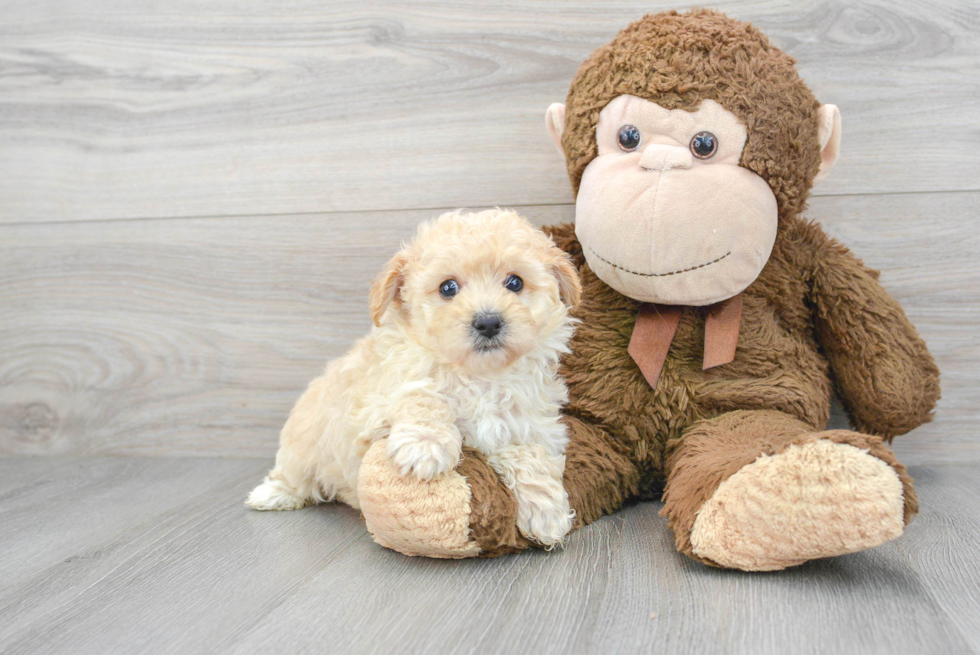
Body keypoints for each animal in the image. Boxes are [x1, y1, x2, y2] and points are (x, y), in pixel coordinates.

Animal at [247, 210, 580, 548]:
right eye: (448, 288)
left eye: (515, 282)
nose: (488, 322)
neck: (479, 376)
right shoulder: (369, 416)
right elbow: (421, 394)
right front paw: (426, 445)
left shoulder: (530, 428)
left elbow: (528, 454)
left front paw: (546, 511)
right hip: (304, 442)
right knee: (294, 475)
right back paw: (271, 494)